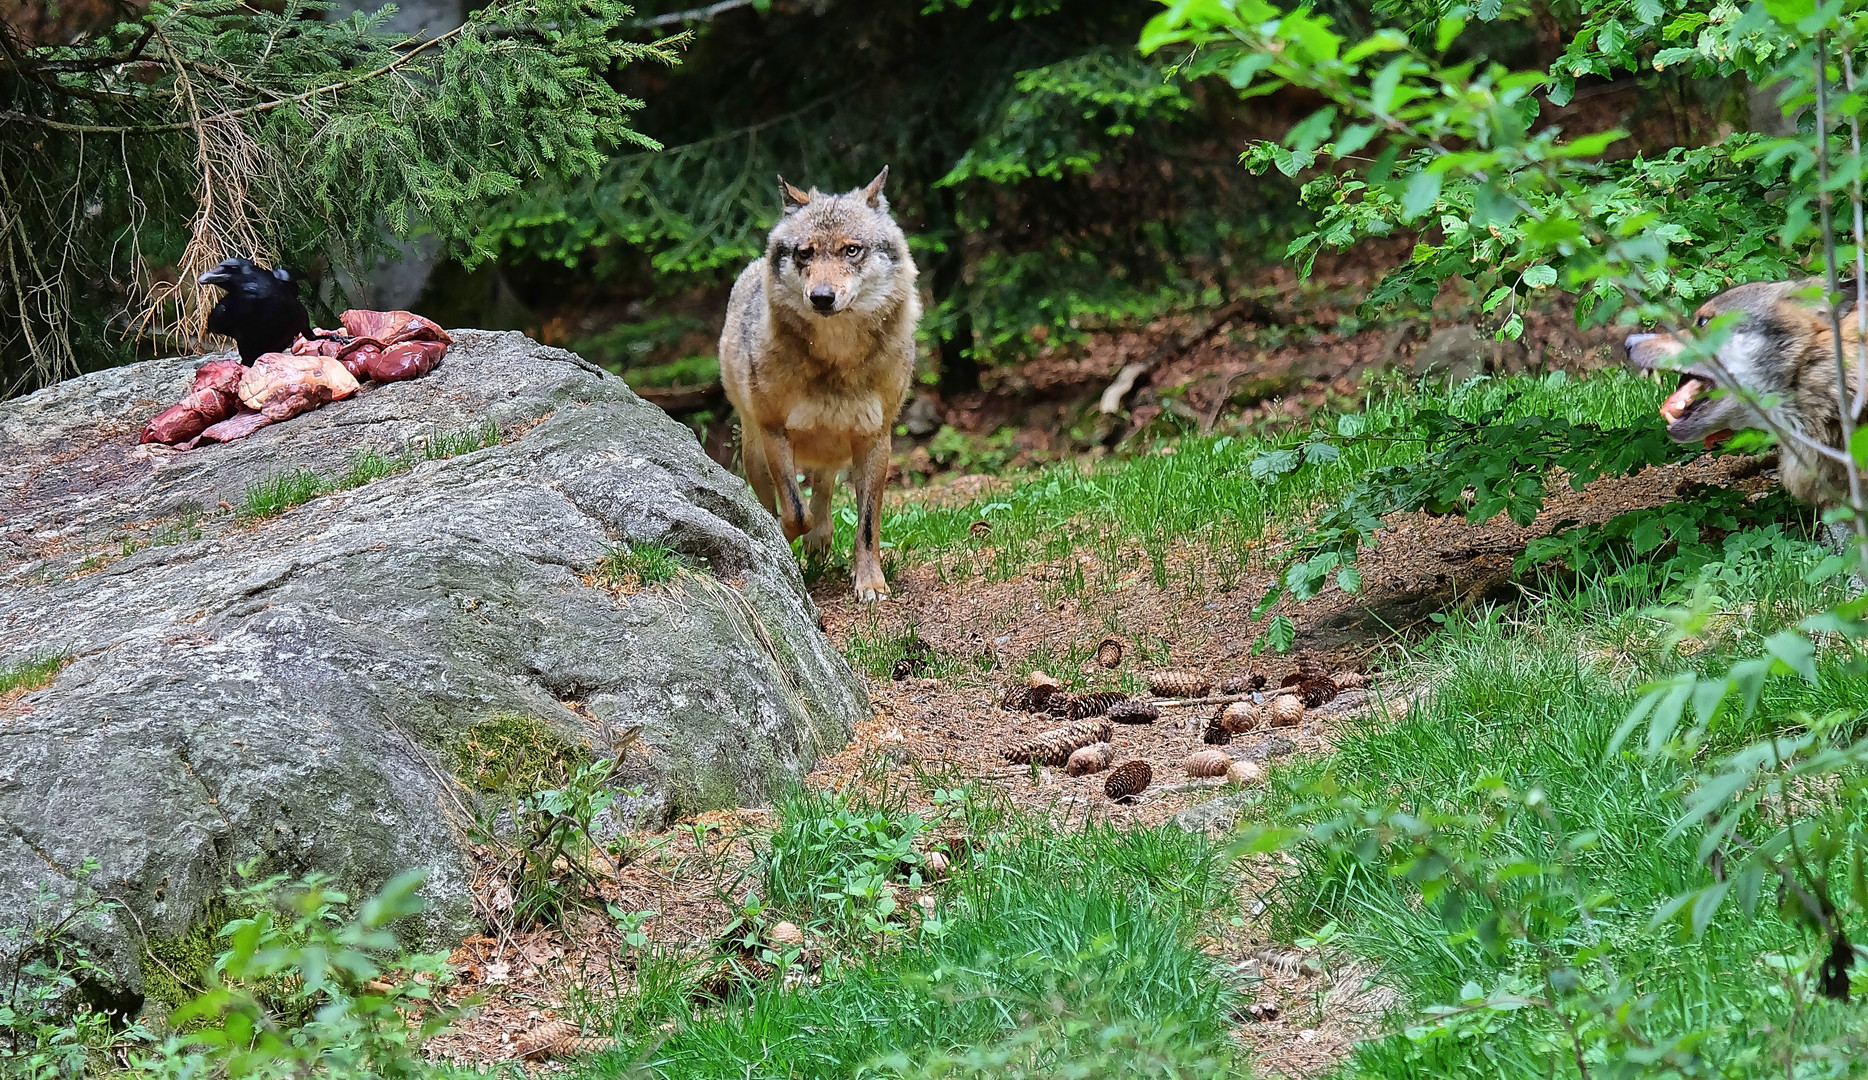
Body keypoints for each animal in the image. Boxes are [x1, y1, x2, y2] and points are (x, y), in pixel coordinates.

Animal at [713, 171, 919, 601]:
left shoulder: (875, 438)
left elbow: (867, 524)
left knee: (824, 487)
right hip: (755, 448)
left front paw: (870, 582)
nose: (821, 297)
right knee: (775, 499)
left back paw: (820, 540)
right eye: (805, 253)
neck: (836, 362)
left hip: (836, 444)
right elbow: (793, 510)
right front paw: (777, 538)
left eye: (851, 250)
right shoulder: (775, 432)